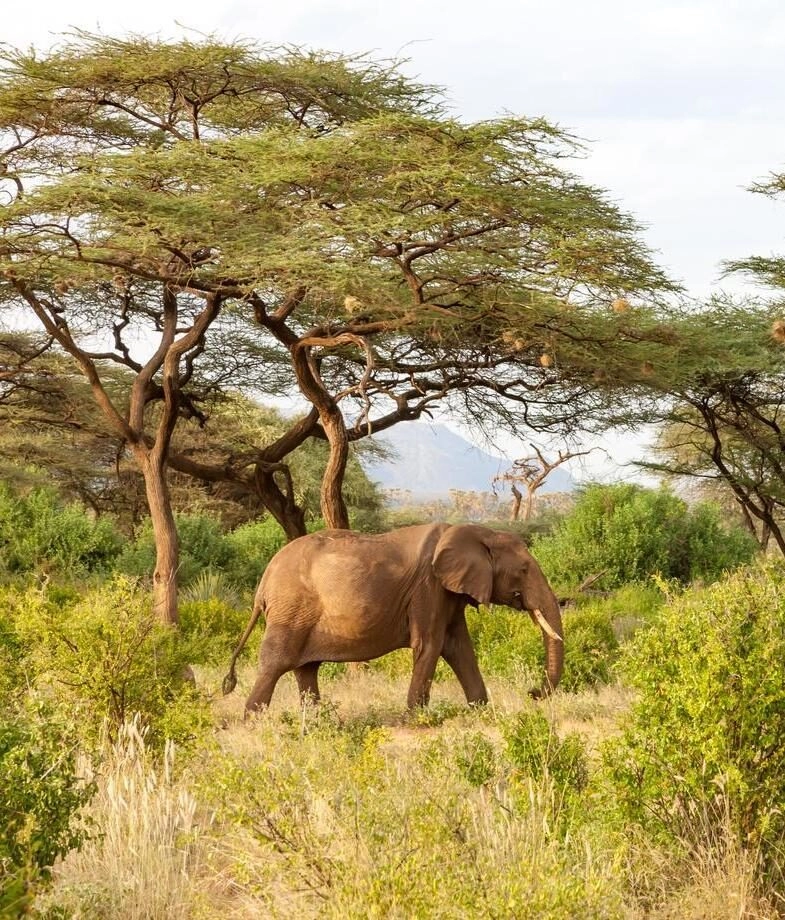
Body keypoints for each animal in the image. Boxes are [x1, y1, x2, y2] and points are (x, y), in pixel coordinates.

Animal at [222, 522, 563, 712]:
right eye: (524, 570)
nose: (533, 692)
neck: (476, 531)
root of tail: (263, 583)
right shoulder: (429, 586)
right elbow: (430, 644)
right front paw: (416, 716)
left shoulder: (447, 593)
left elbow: (459, 647)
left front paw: (479, 710)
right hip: (291, 609)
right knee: (276, 663)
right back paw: (254, 720)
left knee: (306, 669)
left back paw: (316, 722)